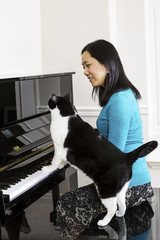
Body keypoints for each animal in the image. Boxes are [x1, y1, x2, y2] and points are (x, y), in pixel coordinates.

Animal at [42, 94, 158, 227]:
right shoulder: (62, 151)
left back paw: (103, 222)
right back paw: (120, 214)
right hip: (121, 189)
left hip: (105, 190)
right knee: (122, 204)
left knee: (112, 207)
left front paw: (48, 168)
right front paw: (61, 166)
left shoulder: (59, 148)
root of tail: (126, 157)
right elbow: (61, 161)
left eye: (50, 101)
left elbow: (54, 161)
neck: (68, 114)